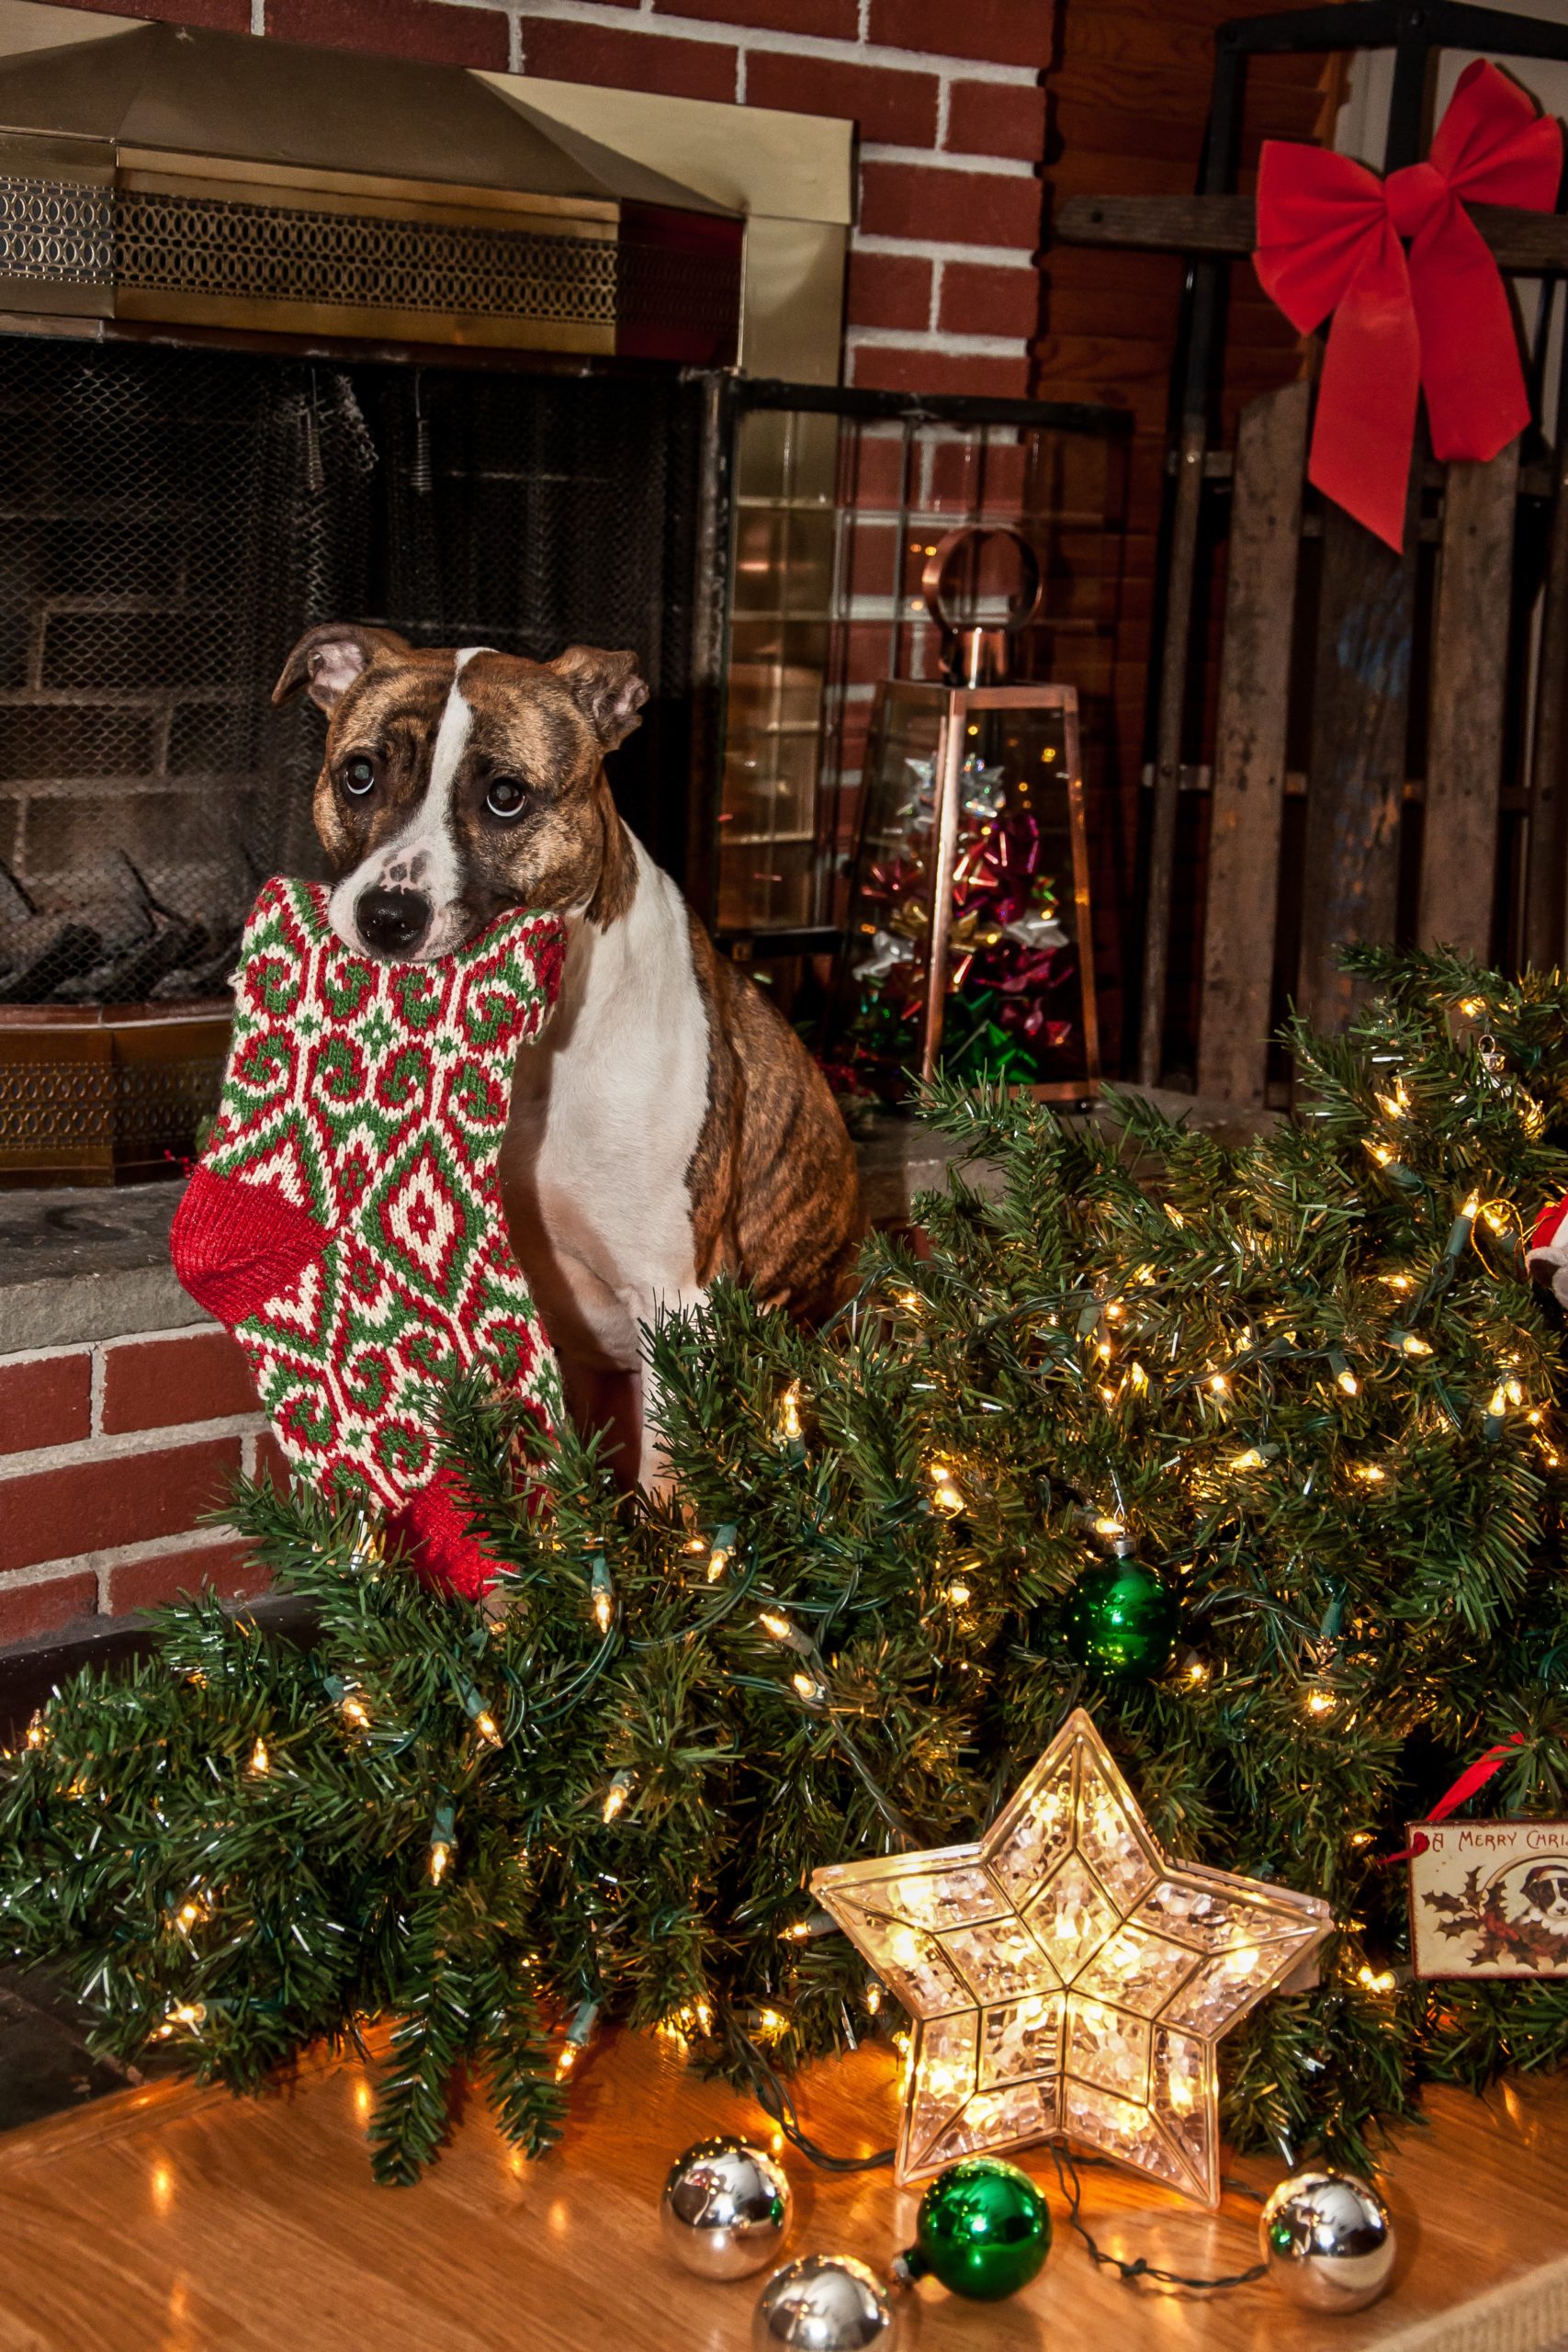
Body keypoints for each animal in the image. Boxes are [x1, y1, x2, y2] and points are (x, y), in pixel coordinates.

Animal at [270, 616, 860, 1476]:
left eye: (505, 796)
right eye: (358, 776)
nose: (387, 916)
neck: (530, 1050)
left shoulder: (676, 1300)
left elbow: (670, 1482)